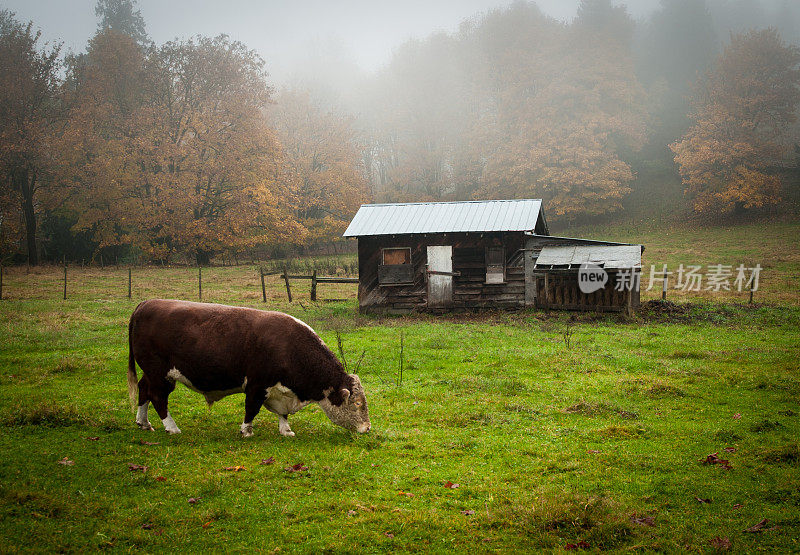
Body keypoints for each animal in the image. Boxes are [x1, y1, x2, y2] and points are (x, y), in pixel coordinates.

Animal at [128, 302, 372, 436]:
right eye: (358, 403)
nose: (368, 428)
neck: (288, 346)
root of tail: (146, 304)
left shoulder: (280, 391)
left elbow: (282, 414)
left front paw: (286, 430)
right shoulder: (257, 385)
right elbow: (251, 409)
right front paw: (246, 431)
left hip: (151, 373)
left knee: (143, 390)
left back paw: (143, 423)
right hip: (159, 374)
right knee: (158, 397)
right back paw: (171, 427)